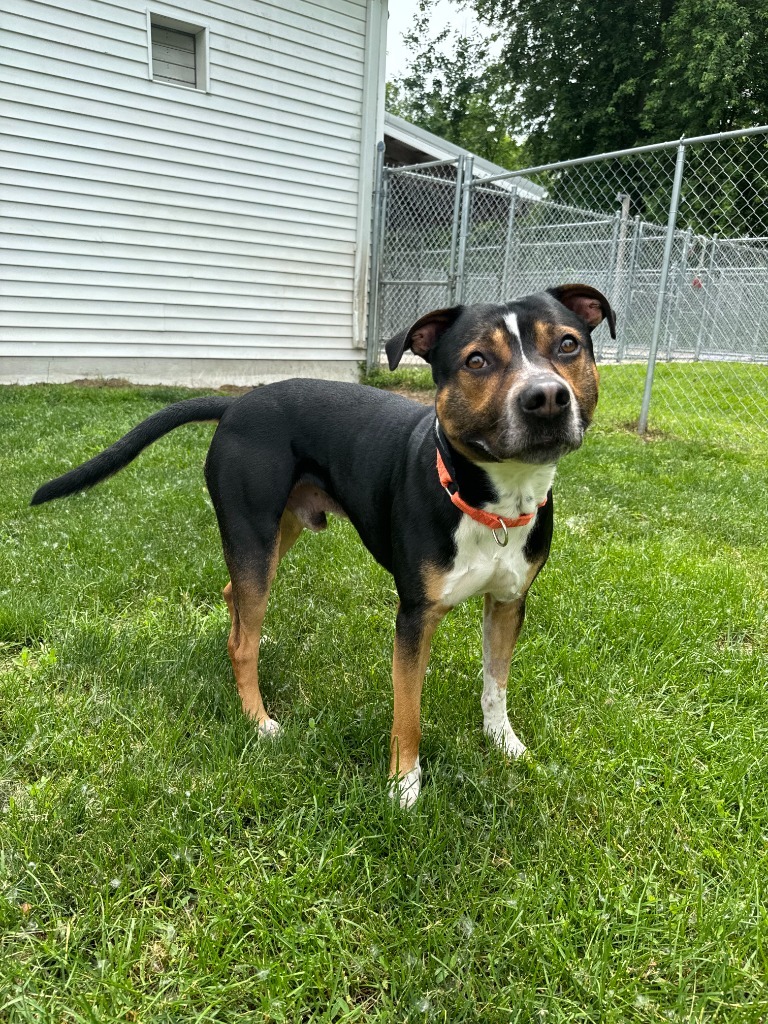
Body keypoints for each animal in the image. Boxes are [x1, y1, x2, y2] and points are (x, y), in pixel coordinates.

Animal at [31, 282, 618, 806]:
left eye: (568, 344)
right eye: (476, 360)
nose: (546, 397)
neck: (492, 503)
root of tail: (238, 405)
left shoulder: (509, 602)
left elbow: (495, 682)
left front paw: (505, 744)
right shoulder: (415, 616)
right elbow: (408, 710)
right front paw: (404, 786)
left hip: (279, 530)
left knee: (235, 599)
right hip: (252, 532)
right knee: (242, 639)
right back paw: (260, 719)